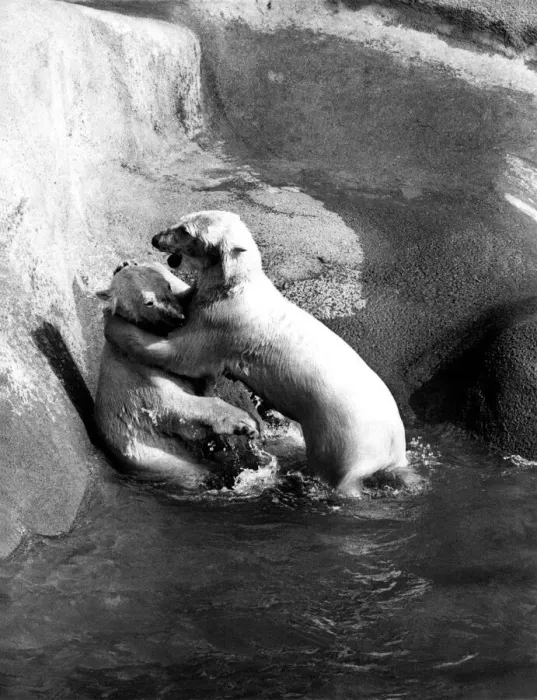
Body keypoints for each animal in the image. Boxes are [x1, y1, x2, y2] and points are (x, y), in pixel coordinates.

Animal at [94, 260, 260, 490]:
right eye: (148, 302)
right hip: (167, 462)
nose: (179, 317)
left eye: (167, 286)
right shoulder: (143, 377)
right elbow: (176, 406)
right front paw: (245, 424)